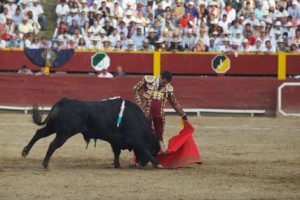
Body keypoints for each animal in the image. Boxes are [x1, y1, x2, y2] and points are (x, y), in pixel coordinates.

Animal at [21, 97, 161, 168]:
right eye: (155, 149)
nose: (142, 164)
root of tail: (64, 101)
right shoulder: (136, 140)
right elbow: (146, 151)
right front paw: (157, 164)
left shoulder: (115, 141)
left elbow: (117, 153)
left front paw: (117, 165)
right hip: (64, 133)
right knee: (53, 145)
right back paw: (45, 164)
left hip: (53, 127)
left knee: (39, 133)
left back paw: (25, 151)